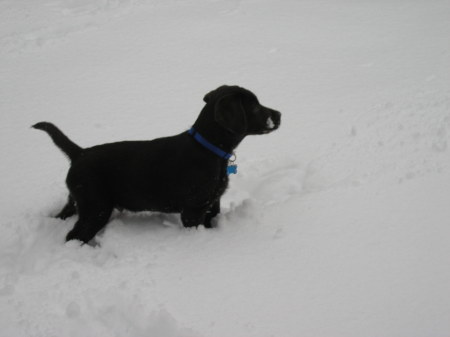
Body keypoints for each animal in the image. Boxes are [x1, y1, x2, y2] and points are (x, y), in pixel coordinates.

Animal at [33, 84, 282, 242]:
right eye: (255, 107)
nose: (279, 114)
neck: (208, 147)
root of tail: (80, 153)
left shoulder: (212, 203)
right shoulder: (193, 210)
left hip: (77, 200)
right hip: (96, 208)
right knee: (74, 236)